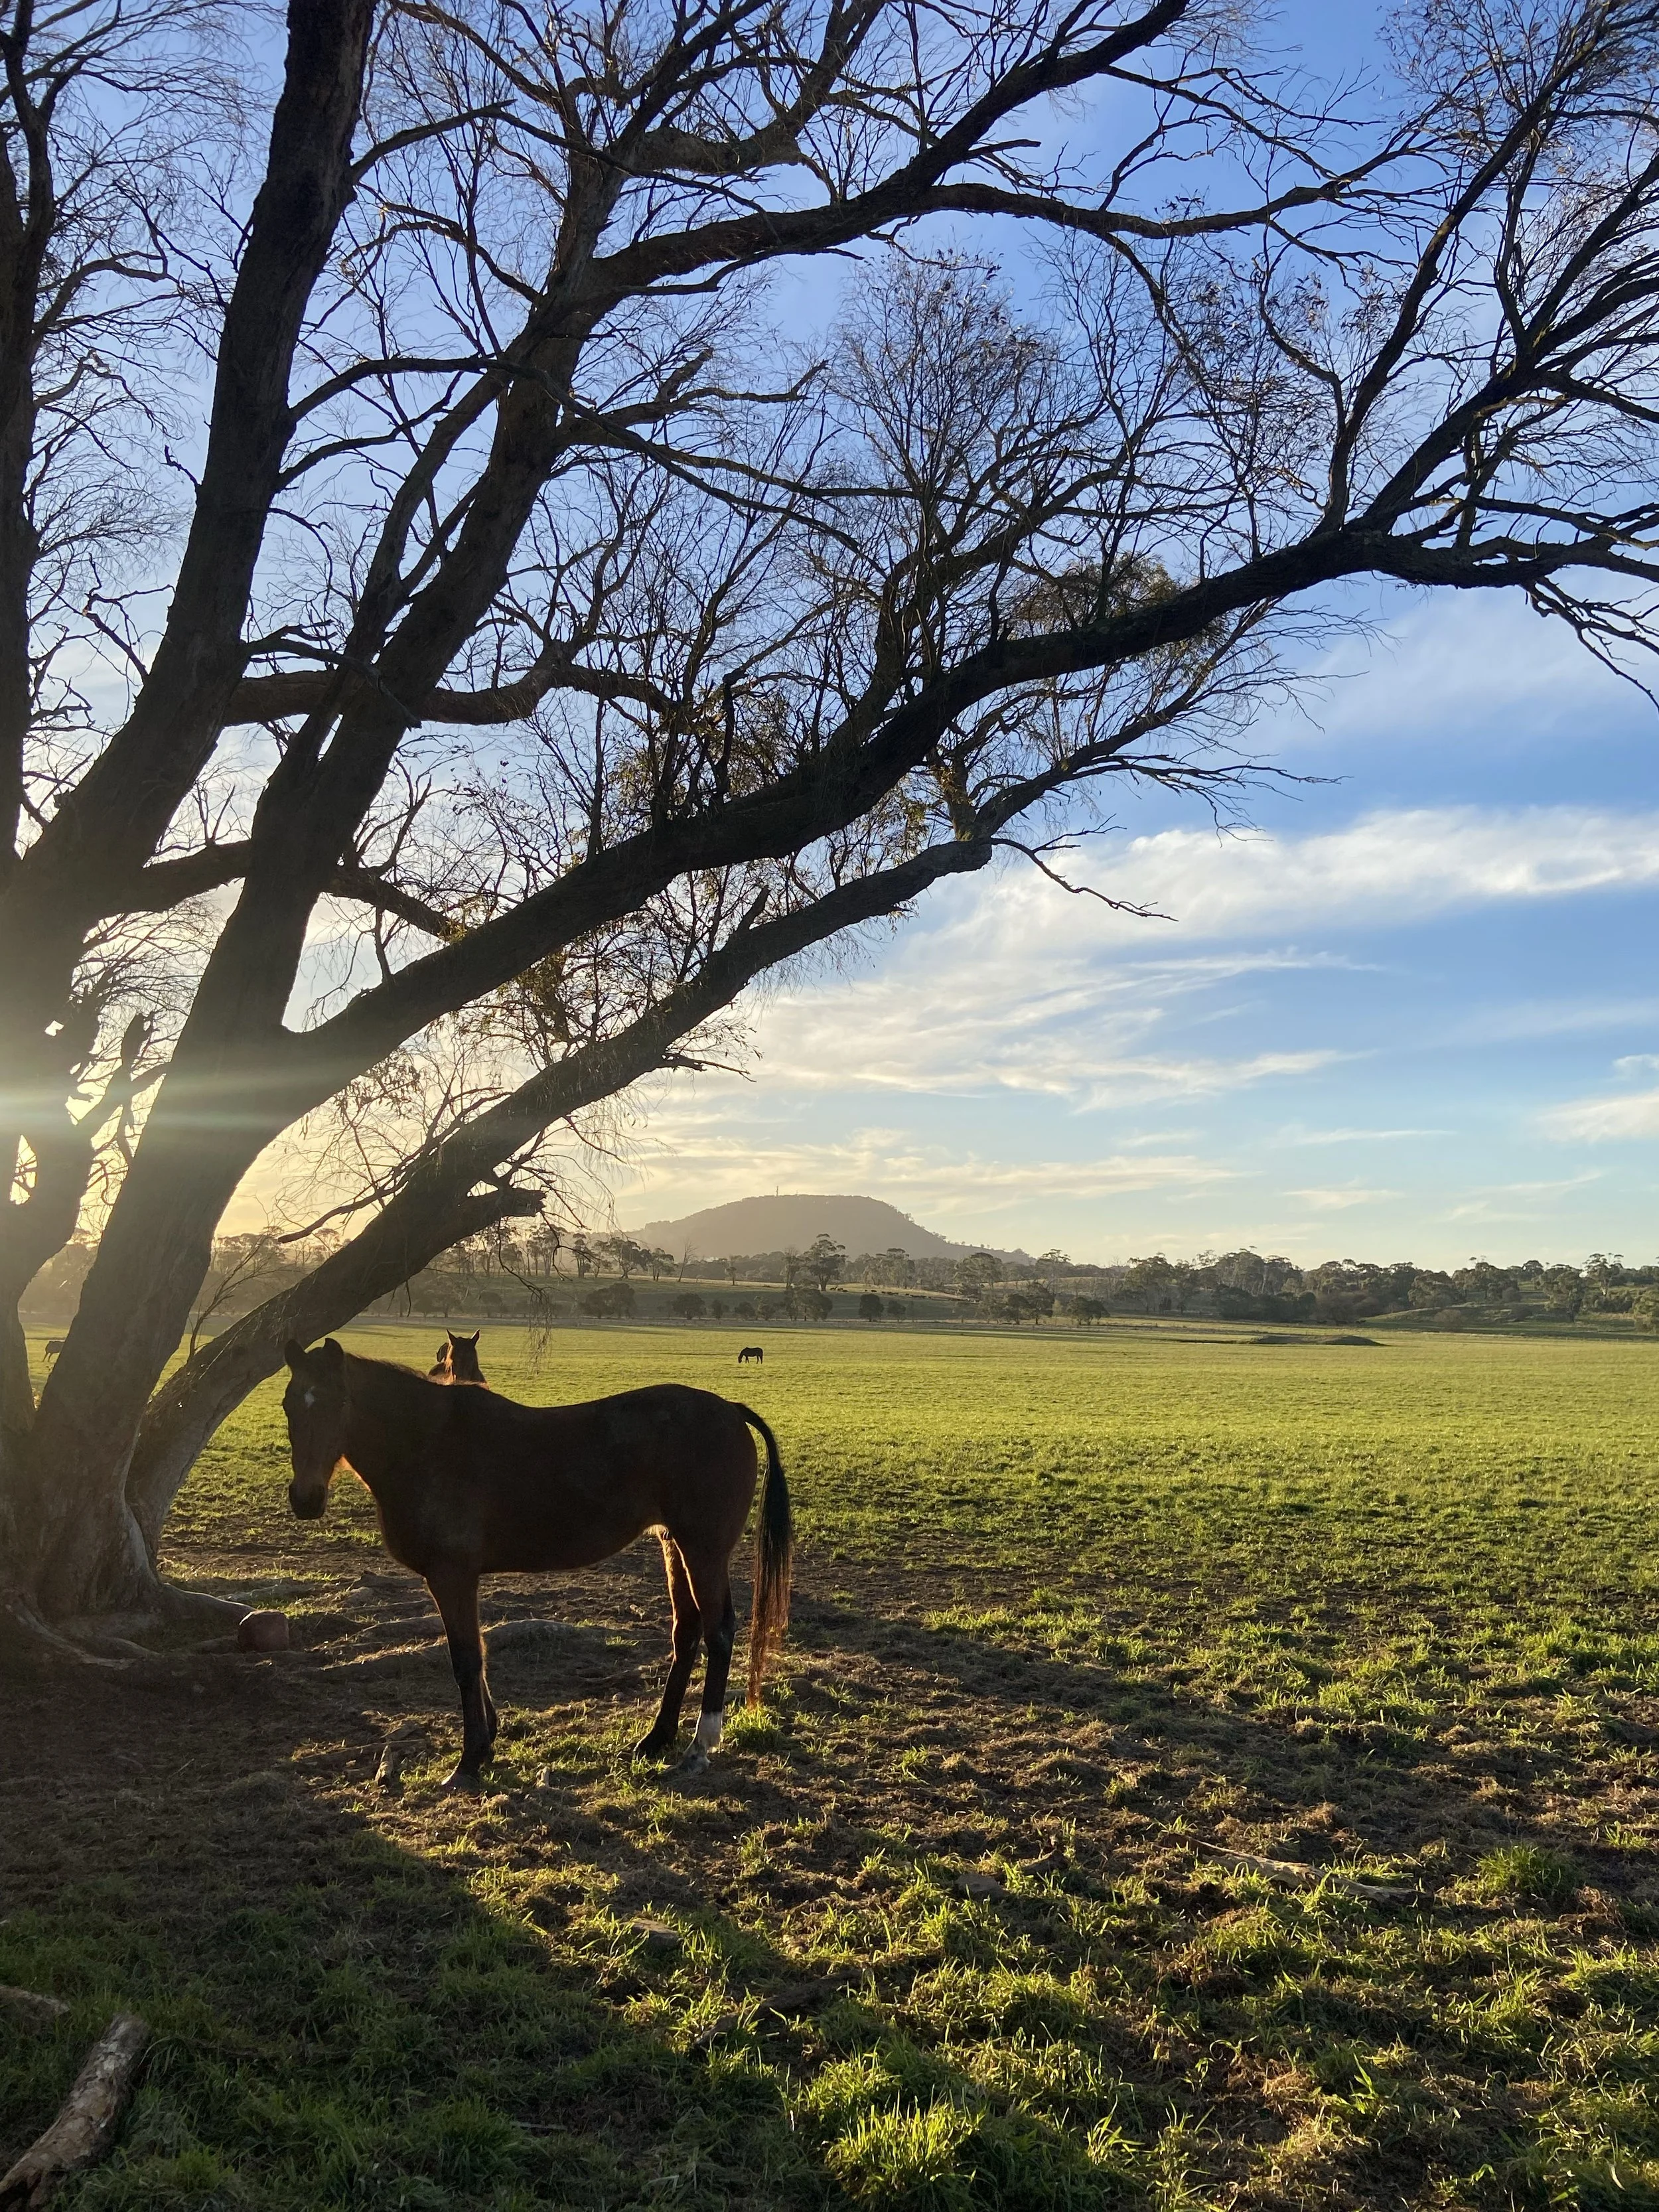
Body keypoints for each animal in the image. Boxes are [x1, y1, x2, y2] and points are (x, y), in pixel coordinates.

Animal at [280, 1338, 792, 1790]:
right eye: (288, 1405)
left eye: (338, 1402)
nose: (306, 1499)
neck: (428, 1442)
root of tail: (730, 1410)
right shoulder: (458, 1580)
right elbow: (479, 1654)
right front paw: (487, 1743)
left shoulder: (451, 1575)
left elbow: (466, 1659)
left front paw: (469, 1761)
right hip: (674, 1546)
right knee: (686, 1631)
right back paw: (656, 1738)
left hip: (703, 1551)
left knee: (719, 1631)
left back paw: (698, 1747)